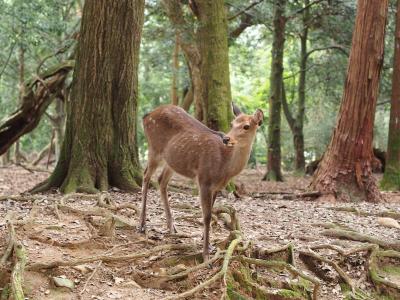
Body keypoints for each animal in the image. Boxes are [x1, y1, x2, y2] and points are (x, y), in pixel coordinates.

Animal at [139, 104, 264, 262]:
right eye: (232, 124)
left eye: (246, 126)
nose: (226, 139)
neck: (224, 168)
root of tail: (146, 116)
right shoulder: (204, 179)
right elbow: (207, 216)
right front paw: (206, 254)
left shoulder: (217, 187)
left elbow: (211, 211)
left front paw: (207, 242)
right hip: (154, 149)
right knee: (145, 176)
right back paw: (142, 225)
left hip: (172, 160)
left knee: (161, 180)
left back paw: (172, 227)